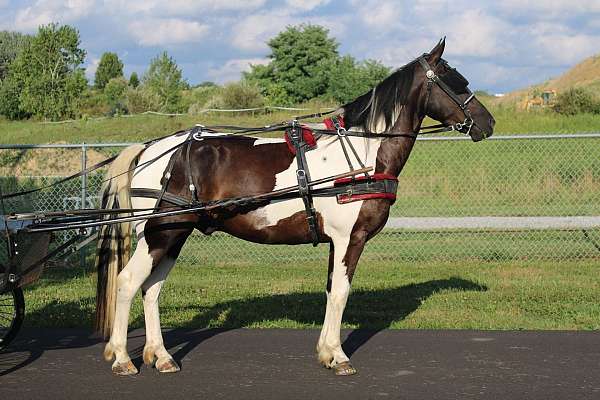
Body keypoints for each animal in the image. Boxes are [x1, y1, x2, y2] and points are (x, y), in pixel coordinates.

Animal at [96, 39, 494, 376]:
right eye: (458, 82)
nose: (487, 123)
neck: (362, 154)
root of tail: (151, 149)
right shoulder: (350, 239)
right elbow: (342, 293)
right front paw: (340, 356)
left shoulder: (337, 242)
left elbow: (332, 291)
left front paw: (327, 351)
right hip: (160, 234)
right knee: (129, 282)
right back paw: (122, 358)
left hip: (174, 235)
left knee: (152, 289)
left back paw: (161, 356)